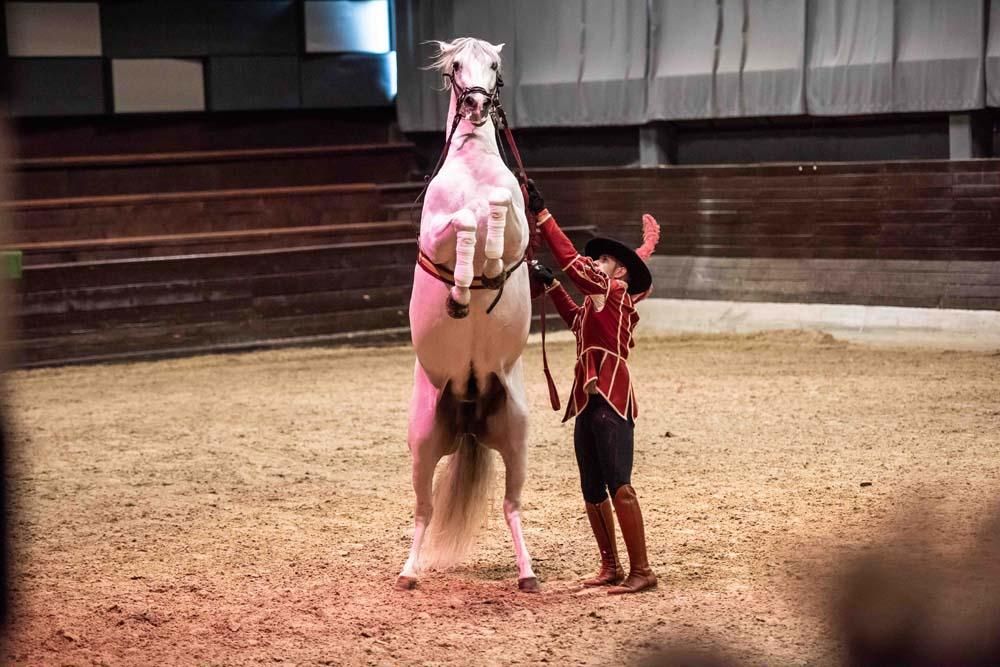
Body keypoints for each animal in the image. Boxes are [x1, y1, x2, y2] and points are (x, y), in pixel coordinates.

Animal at [396, 37, 540, 588]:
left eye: (494, 65)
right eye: (457, 65)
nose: (477, 106)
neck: (474, 169)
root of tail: (470, 412)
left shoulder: (518, 221)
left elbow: (498, 208)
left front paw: (494, 262)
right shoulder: (436, 230)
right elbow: (460, 222)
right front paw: (460, 288)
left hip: (517, 436)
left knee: (511, 507)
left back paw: (527, 573)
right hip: (422, 444)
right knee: (424, 511)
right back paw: (408, 572)